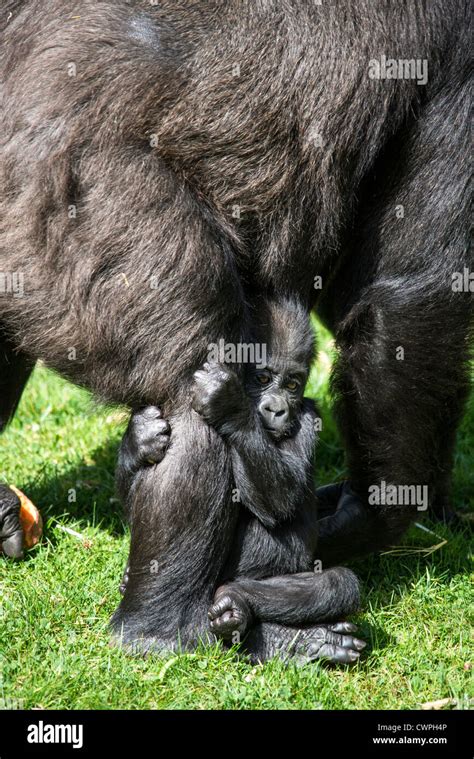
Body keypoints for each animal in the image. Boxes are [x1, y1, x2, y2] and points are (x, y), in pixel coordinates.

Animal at [117, 296, 362, 664]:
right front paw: (138, 439)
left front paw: (230, 405)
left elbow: (281, 500)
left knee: (339, 583)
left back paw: (243, 607)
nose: (277, 409)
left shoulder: (308, 416)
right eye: (262, 378)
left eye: (292, 385)